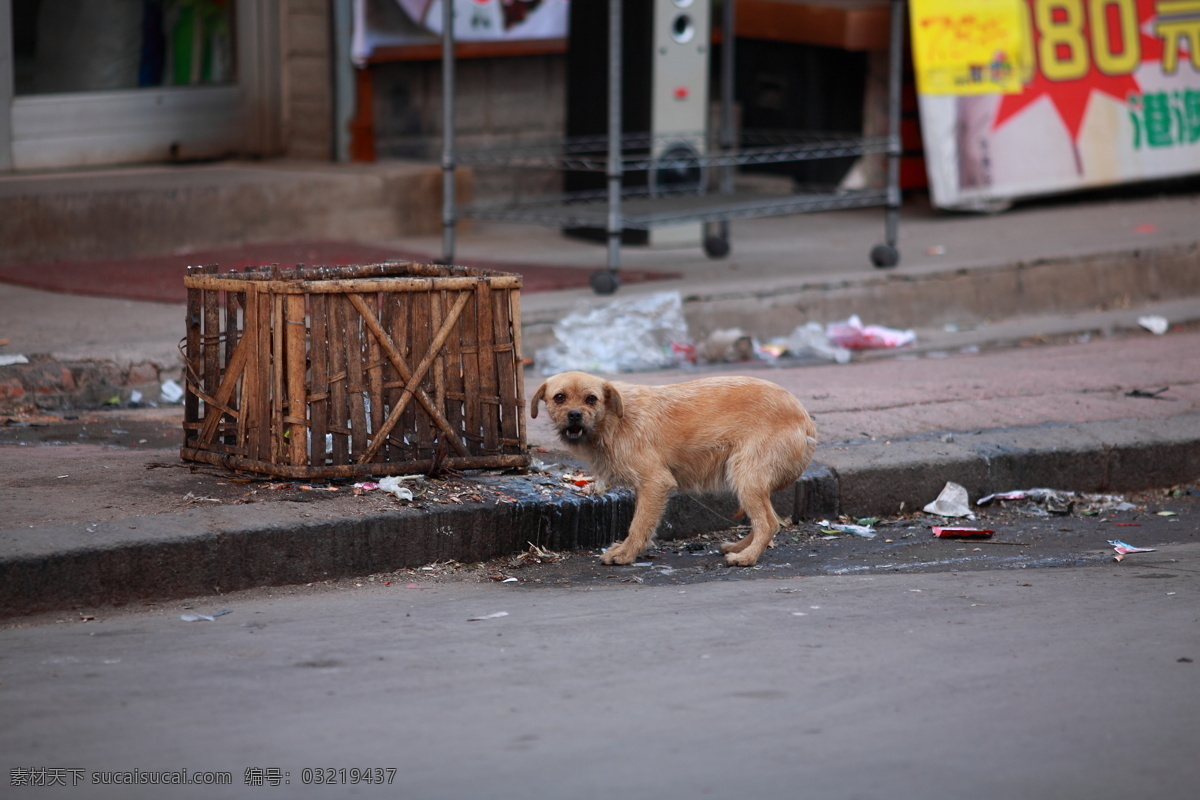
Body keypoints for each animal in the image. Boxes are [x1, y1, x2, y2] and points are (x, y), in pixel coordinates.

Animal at [532, 371, 820, 566]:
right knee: (764, 520)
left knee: (769, 523)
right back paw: (738, 547)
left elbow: (639, 524)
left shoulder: (655, 483)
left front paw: (625, 553)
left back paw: (746, 558)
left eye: (591, 399)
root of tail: (806, 422)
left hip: (746, 476)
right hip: (747, 480)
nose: (575, 415)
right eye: (559, 398)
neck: (614, 419)